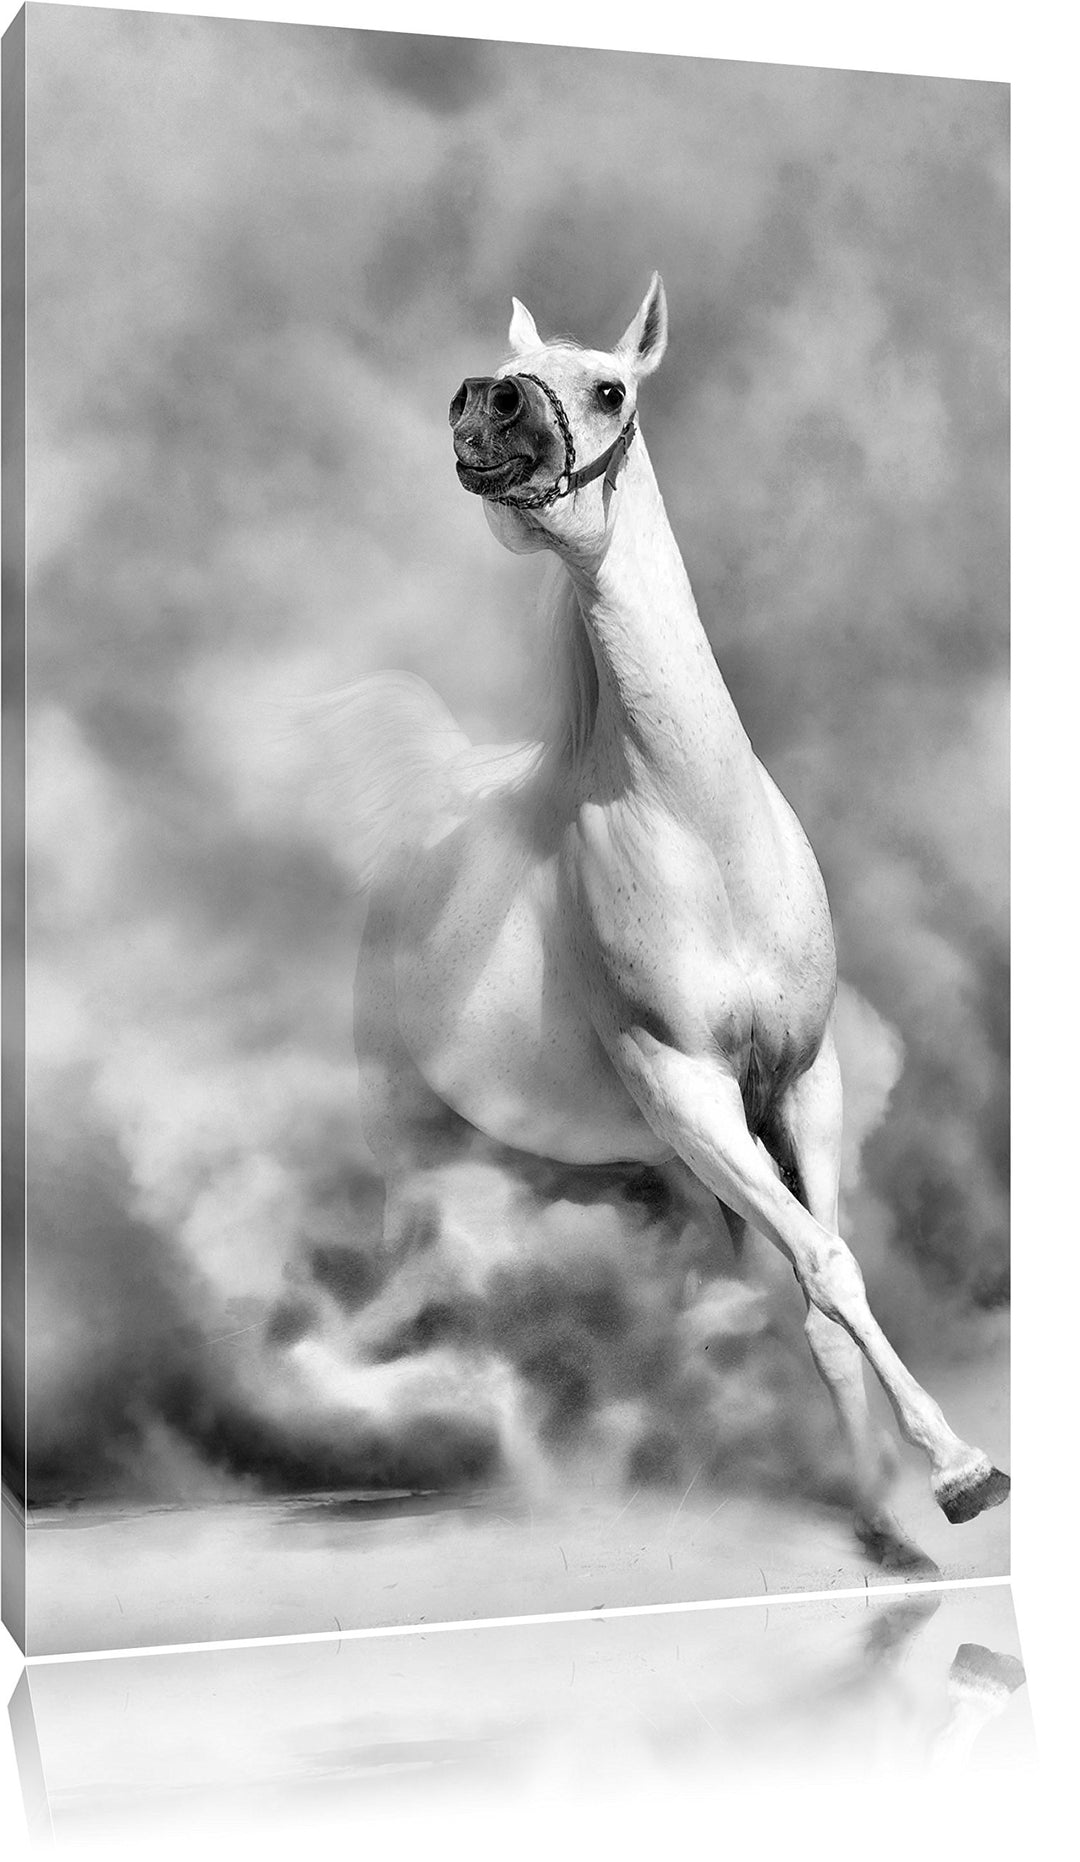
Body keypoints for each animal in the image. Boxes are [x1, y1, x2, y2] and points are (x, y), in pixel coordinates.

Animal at [341, 274, 1009, 1571]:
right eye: (503, 376)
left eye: (609, 387)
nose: (483, 409)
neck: (701, 827)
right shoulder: (686, 1087)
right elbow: (828, 1263)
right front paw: (955, 1474)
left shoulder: (799, 1080)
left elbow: (822, 1278)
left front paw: (888, 1507)